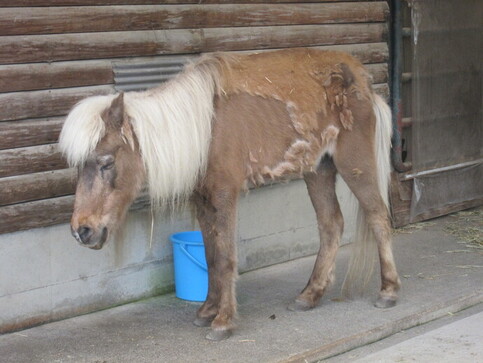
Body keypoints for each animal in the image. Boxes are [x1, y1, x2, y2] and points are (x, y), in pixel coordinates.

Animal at [59, 47, 400, 342]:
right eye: (78, 166)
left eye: (106, 163)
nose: (82, 231)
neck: (204, 128)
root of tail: (362, 79)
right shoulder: (203, 199)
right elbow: (211, 255)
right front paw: (207, 311)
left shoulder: (225, 194)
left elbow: (225, 257)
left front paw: (223, 322)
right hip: (319, 169)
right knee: (331, 225)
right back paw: (309, 296)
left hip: (354, 162)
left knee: (378, 217)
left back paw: (388, 291)